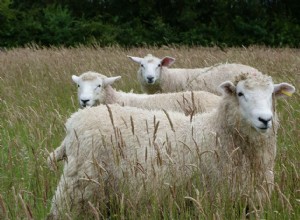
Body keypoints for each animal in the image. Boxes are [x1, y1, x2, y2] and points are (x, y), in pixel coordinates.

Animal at [47, 72, 296, 218]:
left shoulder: (250, 203)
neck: (218, 131)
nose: (265, 119)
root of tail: (74, 122)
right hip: (75, 190)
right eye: (241, 93)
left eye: (271, 95)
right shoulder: (215, 200)